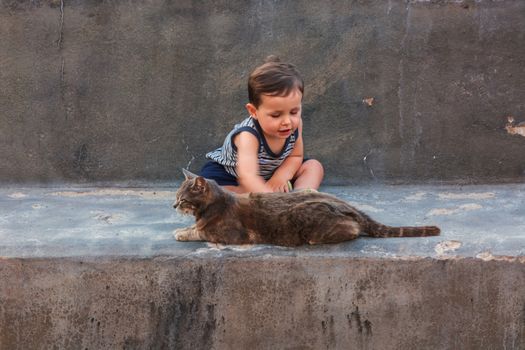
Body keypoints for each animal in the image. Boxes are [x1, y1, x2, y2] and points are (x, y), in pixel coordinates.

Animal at [172, 170, 438, 246]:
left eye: (182, 199)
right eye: (175, 197)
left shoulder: (229, 235)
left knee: (352, 230)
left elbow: (200, 232)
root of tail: (350, 207)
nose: (174, 204)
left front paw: (181, 232)